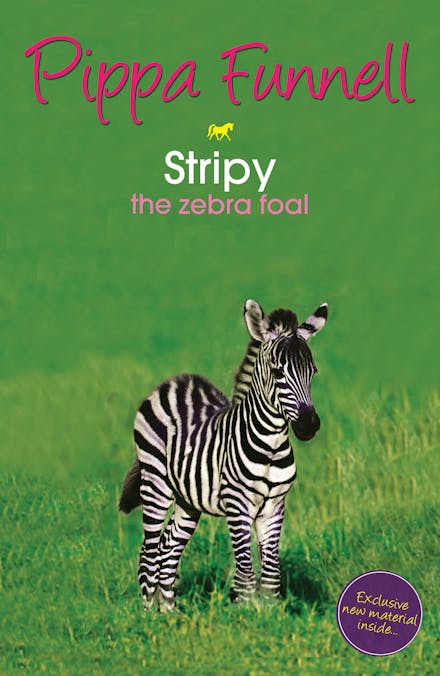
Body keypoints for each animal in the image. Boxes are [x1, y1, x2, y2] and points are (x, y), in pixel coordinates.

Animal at [119, 299, 328, 611]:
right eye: (278, 372)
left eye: (312, 372)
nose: (308, 425)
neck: (271, 446)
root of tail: (173, 382)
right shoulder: (237, 504)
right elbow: (246, 571)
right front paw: (246, 613)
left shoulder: (275, 506)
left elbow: (271, 574)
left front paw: (269, 614)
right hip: (156, 484)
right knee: (149, 550)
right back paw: (148, 614)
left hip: (188, 500)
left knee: (168, 548)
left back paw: (168, 612)